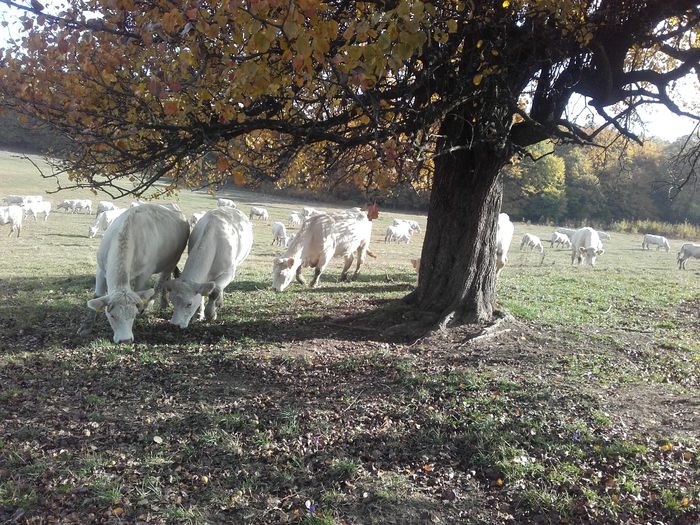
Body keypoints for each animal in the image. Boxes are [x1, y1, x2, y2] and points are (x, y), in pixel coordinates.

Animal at [79, 202, 190, 344]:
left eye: (133, 314)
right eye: (112, 315)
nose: (125, 340)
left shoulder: (144, 274)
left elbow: (140, 292)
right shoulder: (100, 269)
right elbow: (97, 295)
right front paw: (86, 326)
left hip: (173, 259)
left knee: (161, 282)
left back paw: (152, 305)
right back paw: (163, 303)